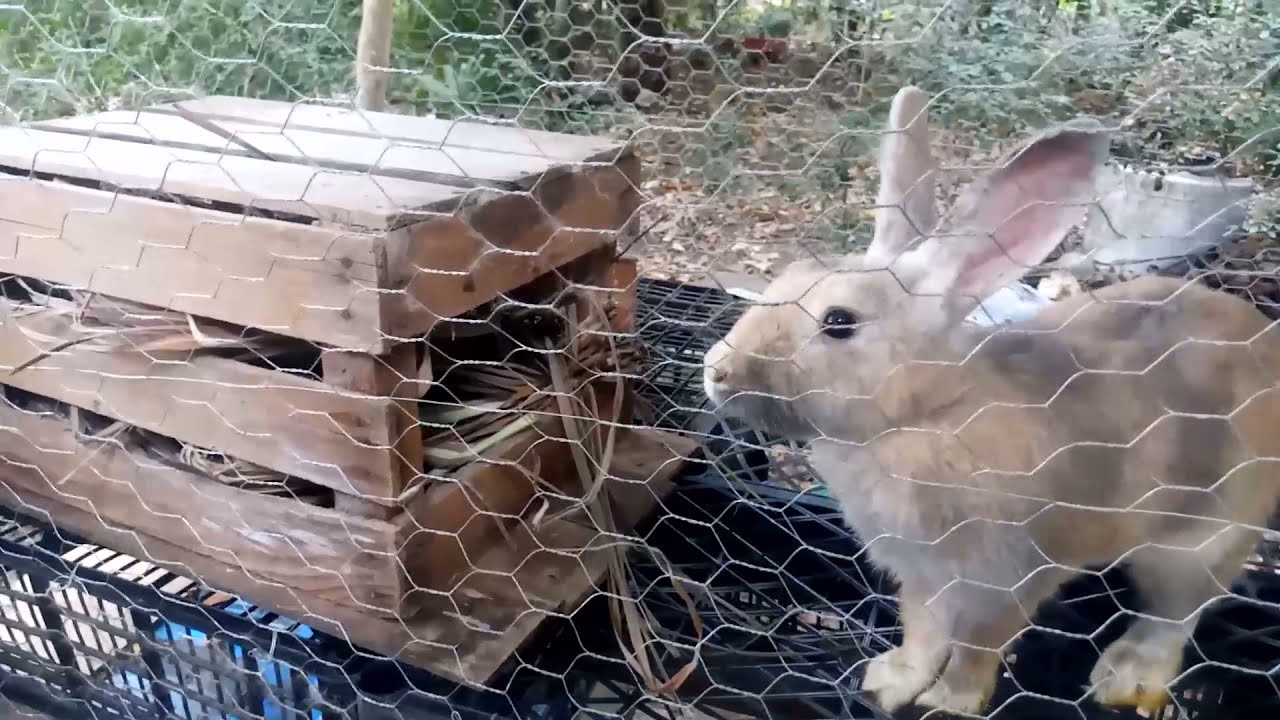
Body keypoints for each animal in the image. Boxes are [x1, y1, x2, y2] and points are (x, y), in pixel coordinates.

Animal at [702, 85, 1280, 717]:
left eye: (838, 322)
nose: (717, 369)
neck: (927, 415)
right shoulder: (922, 576)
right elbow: (923, 630)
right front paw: (890, 682)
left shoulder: (1006, 579)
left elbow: (978, 647)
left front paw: (947, 705)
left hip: (1197, 545)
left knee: (1177, 613)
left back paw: (1125, 677)